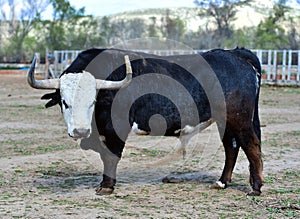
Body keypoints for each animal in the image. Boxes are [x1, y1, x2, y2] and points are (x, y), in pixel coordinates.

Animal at [27, 47, 262, 196]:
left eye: (93, 100)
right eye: (64, 102)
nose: (80, 131)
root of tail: (234, 54)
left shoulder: (115, 128)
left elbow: (110, 156)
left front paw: (107, 186)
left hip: (239, 119)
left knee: (251, 145)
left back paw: (256, 188)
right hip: (226, 122)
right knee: (231, 146)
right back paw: (222, 182)